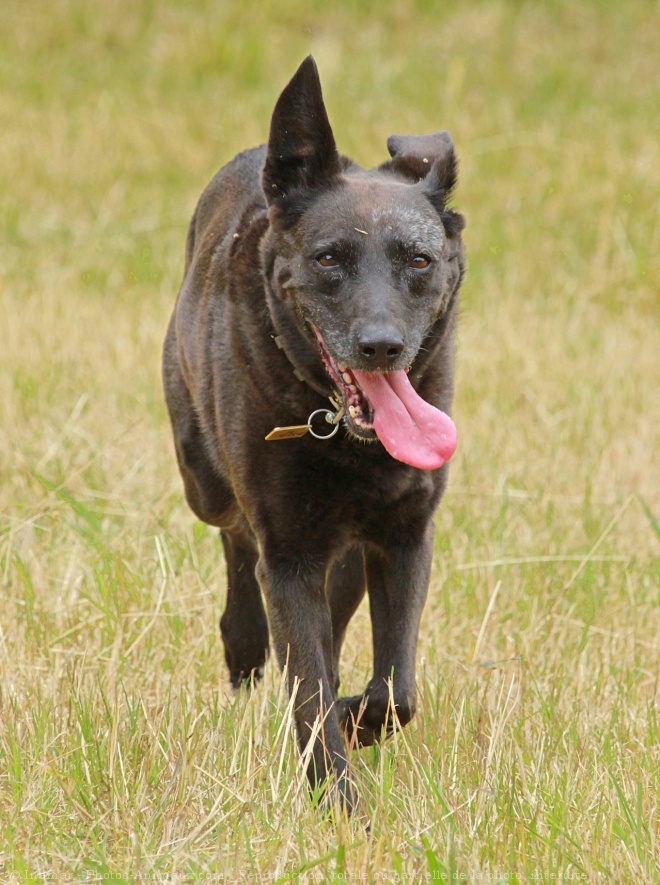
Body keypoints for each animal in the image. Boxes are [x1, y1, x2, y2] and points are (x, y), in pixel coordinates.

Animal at [163, 57, 466, 816]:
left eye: (419, 260)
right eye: (329, 258)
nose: (382, 347)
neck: (342, 430)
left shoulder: (406, 535)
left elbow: (395, 688)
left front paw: (358, 719)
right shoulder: (290, 549)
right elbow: (310, 686)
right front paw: (340, 807)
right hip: (204, 480)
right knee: (237, 542)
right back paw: (244, 645)